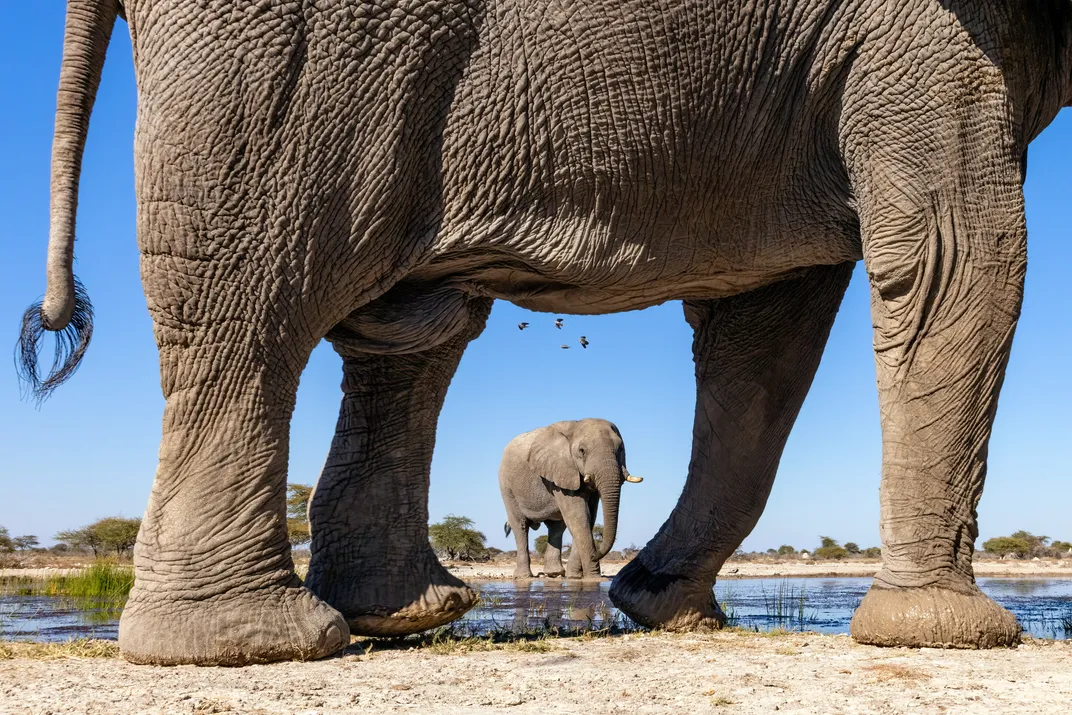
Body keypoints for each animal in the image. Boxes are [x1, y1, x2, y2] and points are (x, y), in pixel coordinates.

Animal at [499, 419, 643, 579]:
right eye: (582, 451)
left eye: (621, 449)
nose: (595, 555)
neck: (576, 424)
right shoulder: (562, 470)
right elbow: (579, 516)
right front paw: (592, 578)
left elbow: (589, 516)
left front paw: (574, 577)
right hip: (507, 487)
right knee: (520, 525)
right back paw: (523, 576)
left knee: (556, 527)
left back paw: (554, 573)